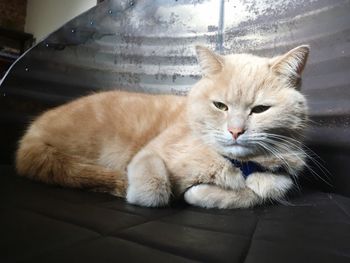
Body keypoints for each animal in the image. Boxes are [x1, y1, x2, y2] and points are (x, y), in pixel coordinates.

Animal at [15, 46, 308, 210]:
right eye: (220, 106)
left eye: (259, 110)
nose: (235, 131)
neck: (237, 164)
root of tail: (32, 132)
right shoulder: (148, 156)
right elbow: (155, 190)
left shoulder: (280, 181)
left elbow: (253, 194)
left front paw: (200, 193)